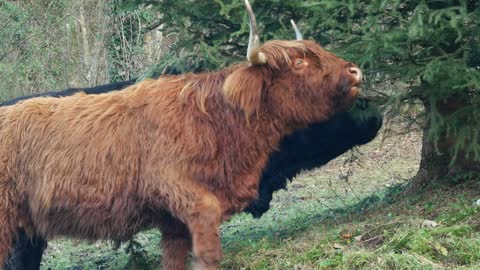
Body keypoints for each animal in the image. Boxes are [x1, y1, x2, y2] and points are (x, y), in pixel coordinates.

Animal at [0, 1, 360, 268]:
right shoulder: (179, 188)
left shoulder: (172, 222)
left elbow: (175, 258)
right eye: (298, 62)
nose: (355, 70)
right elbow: (208, 250)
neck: (216, 122)